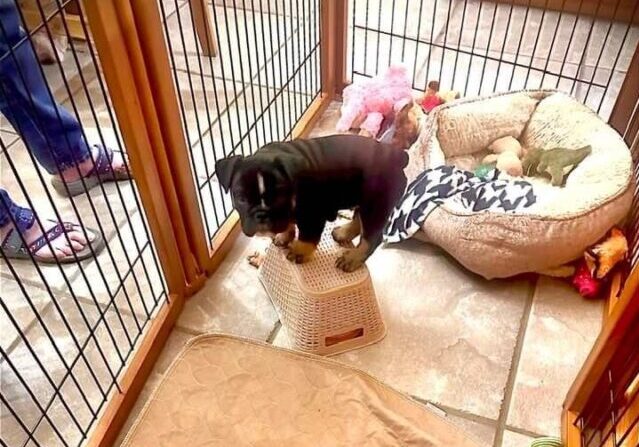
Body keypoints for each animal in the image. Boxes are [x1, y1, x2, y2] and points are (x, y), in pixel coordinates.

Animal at [214, 135, 404, 272]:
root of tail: (398, 156)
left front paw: (299, 252)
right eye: (241, 198)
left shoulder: (312, 215)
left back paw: (353, 258)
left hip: (375, 204)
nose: (261, 214)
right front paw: (283, 236)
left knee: (371, 237)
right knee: (359, 219)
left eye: (279, 197)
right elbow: (288, 224)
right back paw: (343, 233)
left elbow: (307, 236)